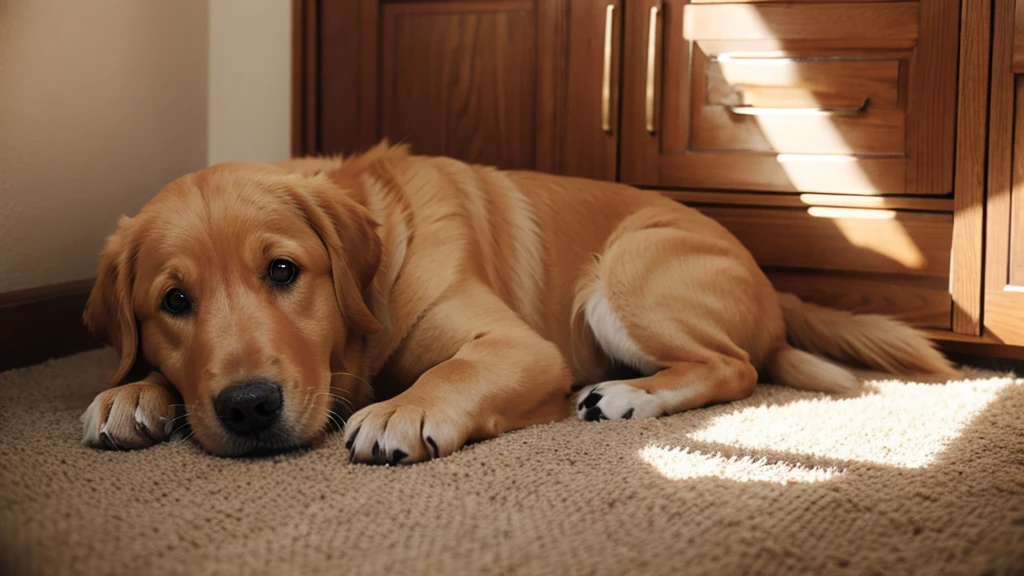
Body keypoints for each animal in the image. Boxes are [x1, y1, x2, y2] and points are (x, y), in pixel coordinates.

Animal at [79, 143, 958, 461]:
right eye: (174, 300)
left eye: (284, 272)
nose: (249, 407)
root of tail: (773, 282)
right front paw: (132, 392)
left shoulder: (518, 346)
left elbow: (448, 375)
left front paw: (402, 411)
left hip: (623, 272)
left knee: (735, 366)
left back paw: (626, 396)